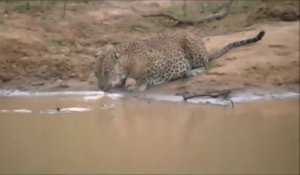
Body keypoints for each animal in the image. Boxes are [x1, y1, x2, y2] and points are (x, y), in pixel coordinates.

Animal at [94, 30, 264, 92]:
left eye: (106, 72)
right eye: (96, 74)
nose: (101, 87)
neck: (127, 61)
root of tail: (205, 49)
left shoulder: (159, 62)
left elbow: (145, 75)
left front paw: (137, 86)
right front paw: (121, 83)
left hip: (191, 42)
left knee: (206, 65)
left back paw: (192, 71)